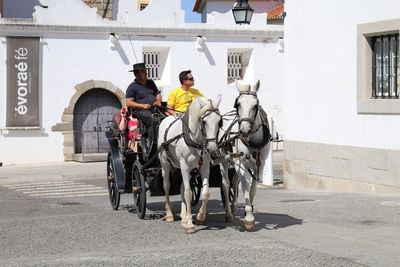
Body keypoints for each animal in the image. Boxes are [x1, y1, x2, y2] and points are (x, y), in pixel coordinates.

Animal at [159, 96, 222, 234]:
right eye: (204, 121)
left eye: (220, 121)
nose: (212, 149)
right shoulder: (185, 166)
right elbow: (188, 193)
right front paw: (189, 224)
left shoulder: (204, 167)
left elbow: (205, 192)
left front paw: (200, 217)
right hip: (165, 164)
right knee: (166, 186)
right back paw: (169, 214)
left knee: (182, 187)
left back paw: (183, 216)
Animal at [219, 80, 272, 231]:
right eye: (238, 104)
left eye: (255, 105)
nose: (243, 131)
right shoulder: (240, 163)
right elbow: (245, 186)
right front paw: (248, 217)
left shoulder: (260, 164)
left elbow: (252, 189)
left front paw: (249, 211)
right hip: (224, 160)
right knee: (226, 184)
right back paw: (228, 213)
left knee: (234, 181)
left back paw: (233, 206)